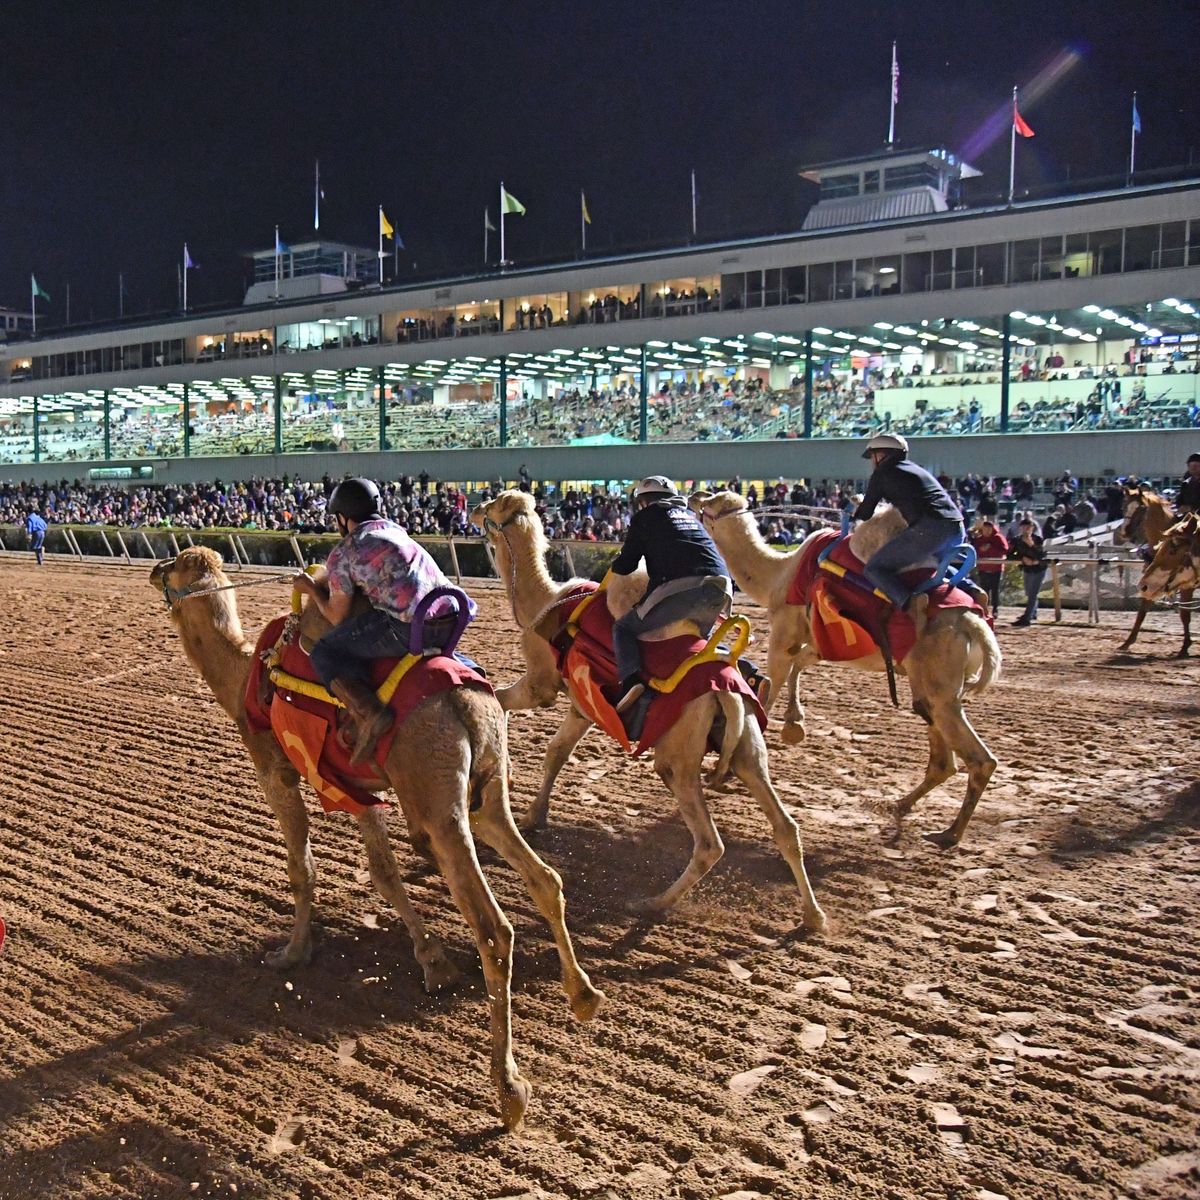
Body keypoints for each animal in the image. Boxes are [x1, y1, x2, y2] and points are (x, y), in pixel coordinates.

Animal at [147, 549, 600, 1128]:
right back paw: (583, 996)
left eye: (174, 565)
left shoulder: (280, 772)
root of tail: (464, 703)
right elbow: (384, 872)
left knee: (494, 930)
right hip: (487, 791)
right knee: (545, 878)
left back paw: (508, 1091)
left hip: (439, 802)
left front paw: (292, 952)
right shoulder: (351, 786)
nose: (155, 570)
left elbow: (302, 868)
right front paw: (433, 962)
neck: (245, 675)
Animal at [468, 482, 825, 931]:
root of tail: (727, 690)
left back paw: (651, 903)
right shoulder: (582, 706)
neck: (544, 606)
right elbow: (556, 752)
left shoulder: (541, 684)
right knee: (785, 828)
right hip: (748, 748)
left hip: (677, 760)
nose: (474, 510)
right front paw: (535, 816)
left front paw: (511, 779)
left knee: (709, 844)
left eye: (494, 504)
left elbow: (500, 701)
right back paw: (814, 917)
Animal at [696, 492, 1003, 849]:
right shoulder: (817, 640)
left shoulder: (784, 634)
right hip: (933, 687)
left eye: (711, 504)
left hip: (941, 685)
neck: (779, 574)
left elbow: (775, 680)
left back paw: (948, 834)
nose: (693, 496)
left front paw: (742, 760)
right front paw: (794, 725)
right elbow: (800, 666)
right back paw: (900, 807)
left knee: (979, 760)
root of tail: (973, 623)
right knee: (943, 758)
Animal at [1113, 484, 1190, 657]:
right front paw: (1127, 642)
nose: (1125, 531)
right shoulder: (1151, 583)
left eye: (1142, 508)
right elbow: (1142, 611)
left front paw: (1185, 646)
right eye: (1123, 506)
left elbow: (1185, 614)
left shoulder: (1186, 585)